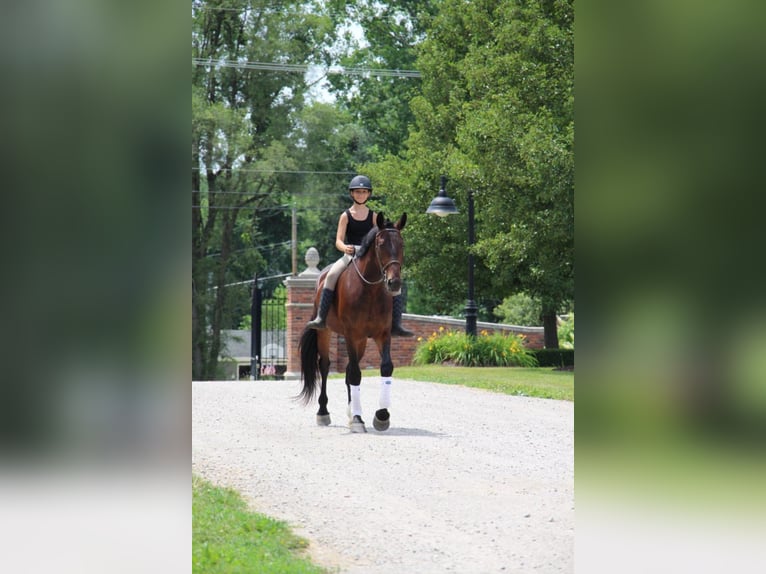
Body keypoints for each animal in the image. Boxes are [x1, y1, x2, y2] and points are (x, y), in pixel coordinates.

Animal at [298, 214, 408, 434]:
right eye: (381, 244)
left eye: (401, 244)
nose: (394, 283)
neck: (371, 289)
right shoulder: (351, 334)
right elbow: (356, 373)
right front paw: (358, 419)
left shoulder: (382, 334)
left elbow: (385, 367)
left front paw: (381, 416)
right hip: (327, 332)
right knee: (325, 366)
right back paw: (323, 413)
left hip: (362, 341)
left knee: (349, 368)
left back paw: (351, 411)